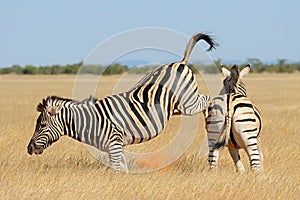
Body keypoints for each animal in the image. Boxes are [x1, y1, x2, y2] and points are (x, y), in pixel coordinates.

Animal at [27, 32, 216, 172]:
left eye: (42, 125)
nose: (29, 149)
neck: (90, 121)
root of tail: (180, 62)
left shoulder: (114, 144)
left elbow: (117, 170)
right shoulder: (116, 147)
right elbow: (123, 169)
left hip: (188, 103)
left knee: (207, 100)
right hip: (176, 107)